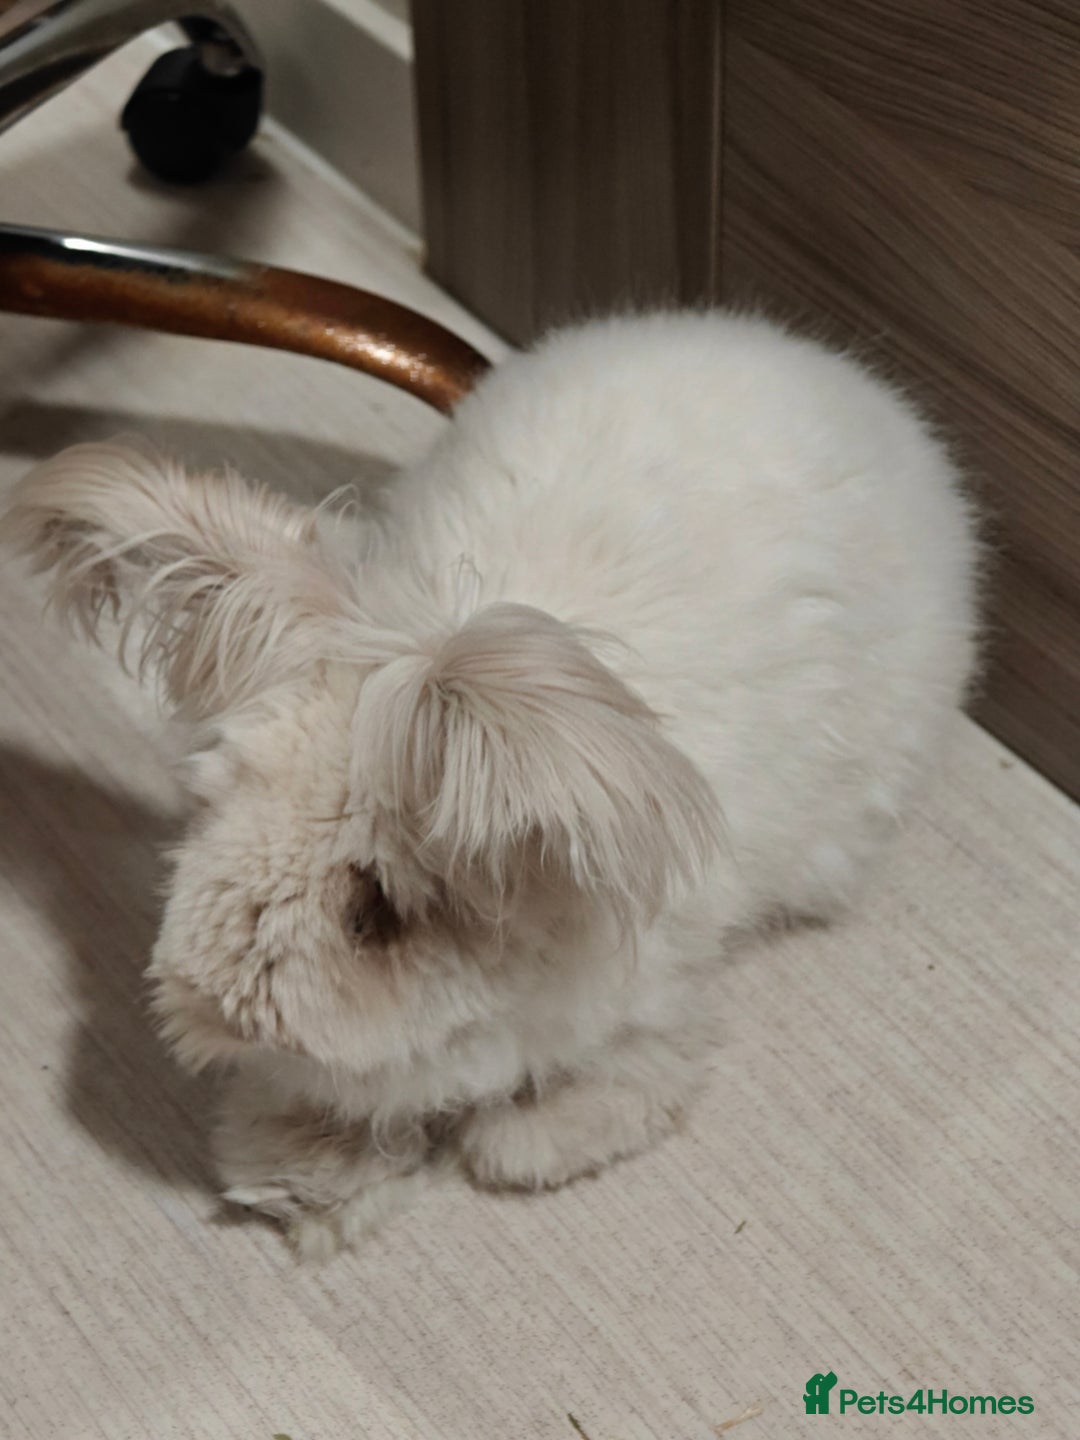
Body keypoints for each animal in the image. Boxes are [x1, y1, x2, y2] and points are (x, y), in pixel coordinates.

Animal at [3, 310, 979, 1257]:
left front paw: (523, 1145)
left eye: (374, 909)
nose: (219, 1014)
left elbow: (640, 1070)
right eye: (208, 805)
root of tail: (816, 362)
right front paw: (297, 1173)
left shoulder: (653, 993)